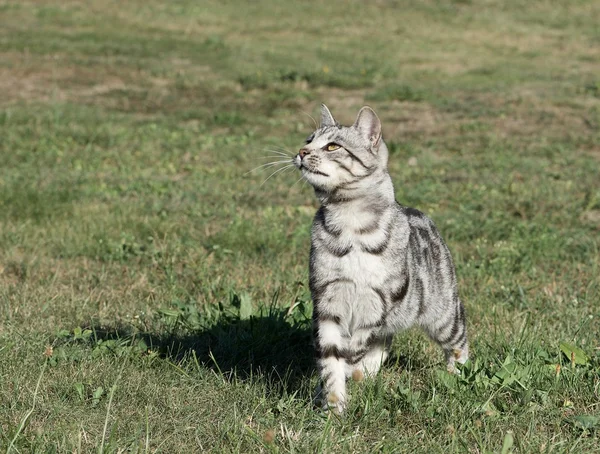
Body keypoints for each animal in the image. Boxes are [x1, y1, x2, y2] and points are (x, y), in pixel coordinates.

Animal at [294, 104, 468, 414]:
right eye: (308, 140)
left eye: (332, 146)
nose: (301, 152)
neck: (349, 222)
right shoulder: (327, 297)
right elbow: (331, 357)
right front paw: (333, 405)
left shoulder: (379, 299)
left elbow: (354, 347)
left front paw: (344, 378)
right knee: (384, 341)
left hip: (443, 312)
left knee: (458, 338)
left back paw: (457, 373)